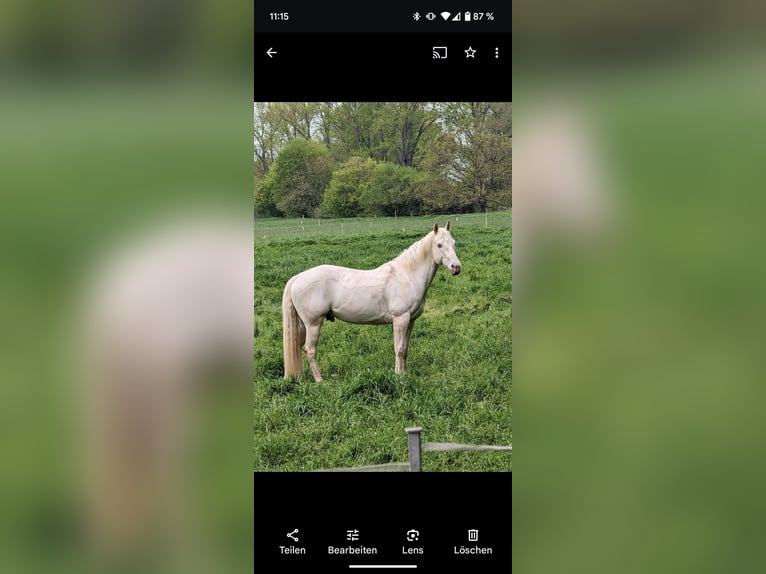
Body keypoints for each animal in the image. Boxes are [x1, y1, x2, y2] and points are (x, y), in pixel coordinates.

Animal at [282, 221, 462, 381]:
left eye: (453, 243)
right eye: (439, 245)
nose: (456, 267)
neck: (407, 276)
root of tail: (298, 277)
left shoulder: (410, 321)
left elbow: (405, 349)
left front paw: (404, 373)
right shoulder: (400, 319)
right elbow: (398, 348)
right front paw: (398, 376)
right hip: (313, 323)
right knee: (310, 350)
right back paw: (320, 380)